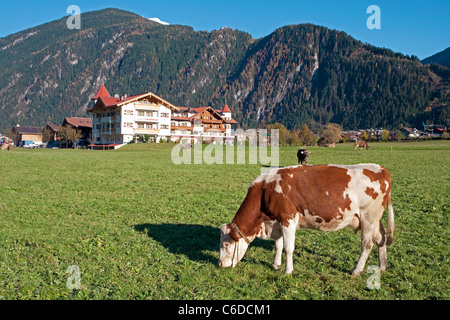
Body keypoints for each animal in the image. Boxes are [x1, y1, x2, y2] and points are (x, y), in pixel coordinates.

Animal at [218, 164, 394, 276]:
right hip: (374, 219)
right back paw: (383, 265)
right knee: (381, 238)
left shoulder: (287, 219)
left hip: (368, 217)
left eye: (226, 244)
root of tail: (381, 169)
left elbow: (288, 248)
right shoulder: (277, 222)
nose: (220, 264)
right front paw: (276, 264)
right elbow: (278, 245)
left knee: (367, 244)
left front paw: (288, 271)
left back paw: (356, 270)